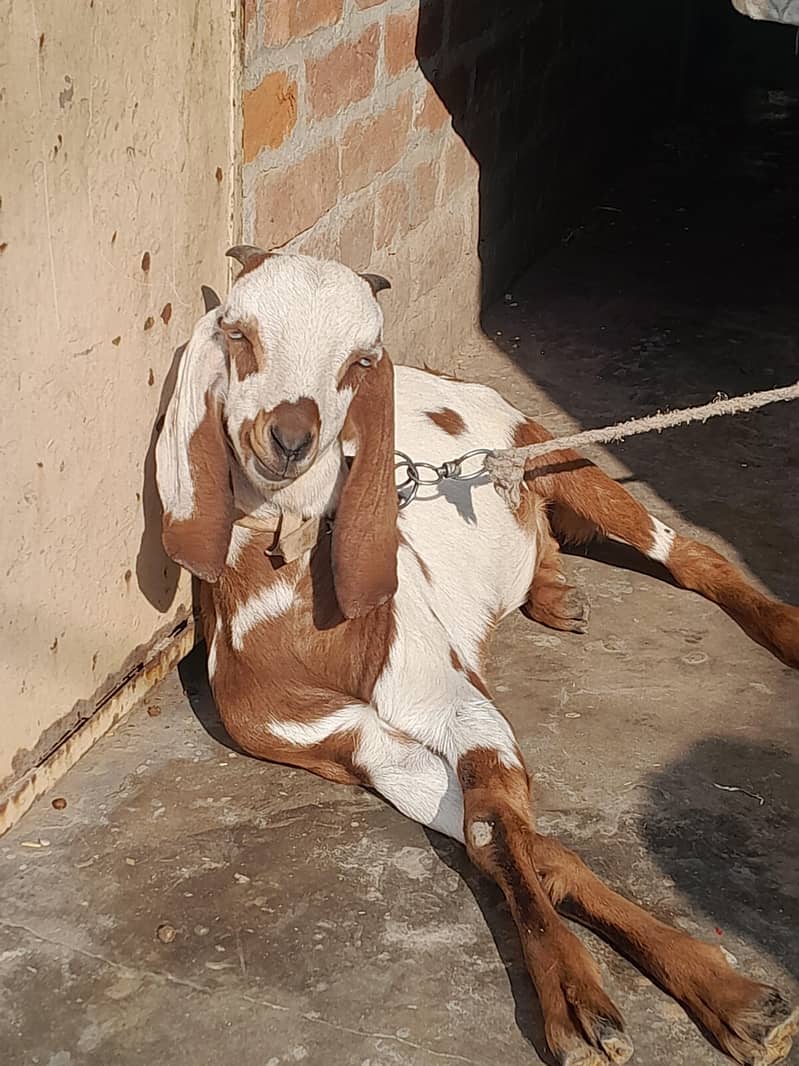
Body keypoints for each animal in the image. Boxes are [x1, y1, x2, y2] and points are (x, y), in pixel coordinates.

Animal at [156, 248, 799, 1066]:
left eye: (360, 359)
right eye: (239, 334)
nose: (291, 437)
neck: (306, 626)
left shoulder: (449, 697)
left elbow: (496, 824)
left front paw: (616, 998)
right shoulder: (356, 745)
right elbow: (512, 839)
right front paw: (662, 989)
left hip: (552, 450)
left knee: (687, 554)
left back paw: (782, 628)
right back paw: (553, 590)